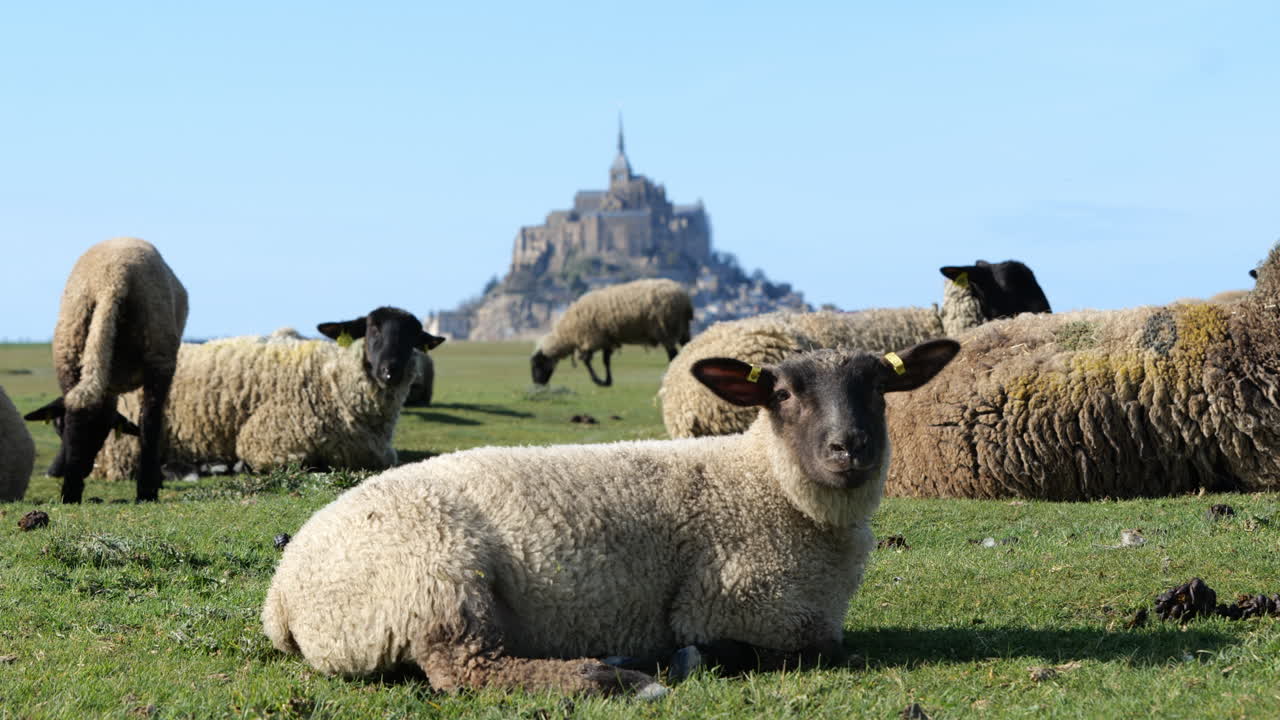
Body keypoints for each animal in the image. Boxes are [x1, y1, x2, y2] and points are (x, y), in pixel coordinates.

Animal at [23, 237, 187, 503]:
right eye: (56, 428)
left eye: (104, 432)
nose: (58, 471)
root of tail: (110, 280)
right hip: (157, 355)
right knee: (150, 420)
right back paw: (144, 490)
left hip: (74, 351)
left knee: (83, 407)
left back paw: (75, 491)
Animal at [92, 307, 445, 480]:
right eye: (372, 329)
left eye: (414, 336)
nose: (390, 370)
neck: (332, 382)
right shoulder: (267, 443)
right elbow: (305, 465)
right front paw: (234, 466)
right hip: (127, 444)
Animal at [261, 339, 960, 697]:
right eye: (782, 394)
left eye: (879, 389)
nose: (850, 448)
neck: (768, 486)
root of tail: (282, 596)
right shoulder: (736, 603)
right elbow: (799, 647)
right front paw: (687, 659)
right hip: (437, 579)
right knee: (467, 670)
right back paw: (612, 676)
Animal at [531, 278, 693, 387]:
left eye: (537, 365)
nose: (537, 384)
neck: (567, 333)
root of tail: (684, 298)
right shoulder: (606, 339)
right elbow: (606, 361)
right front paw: (607, 380)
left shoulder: (592, 338)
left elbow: (587, 361)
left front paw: (598, 381)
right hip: (683, 328)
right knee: (687, 346)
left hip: (666, 329)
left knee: (672, 354)